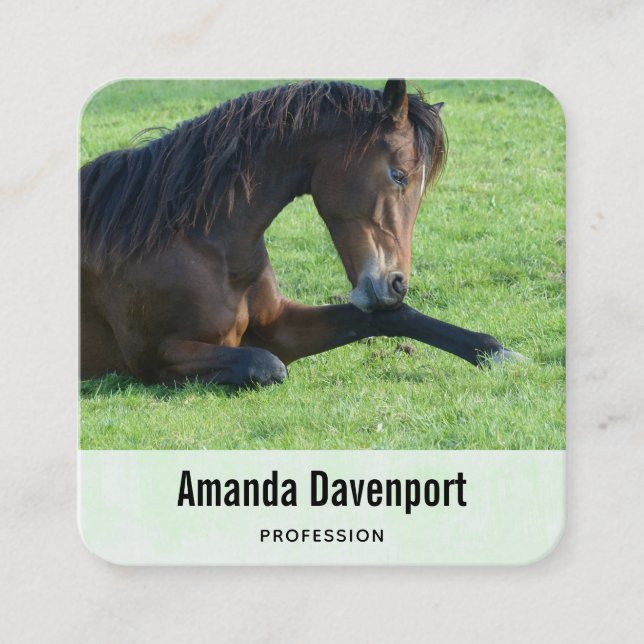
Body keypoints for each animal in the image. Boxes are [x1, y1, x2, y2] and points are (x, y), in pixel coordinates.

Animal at [81, 79, 522, 387]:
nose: (396, 284)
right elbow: (267, 365)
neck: (197, 241)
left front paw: (498, 352)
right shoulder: (156, 356)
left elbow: (394, 317)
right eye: (399, 175)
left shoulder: (278, 325)